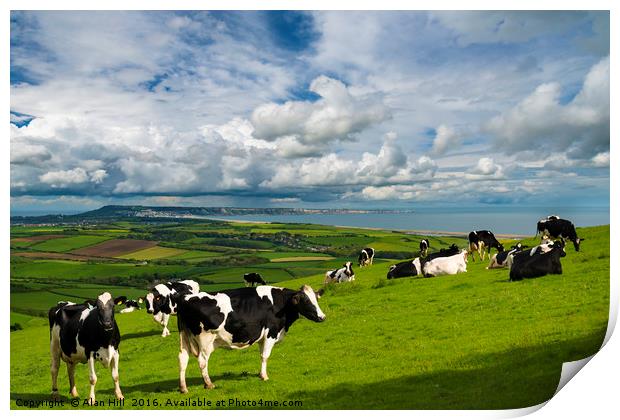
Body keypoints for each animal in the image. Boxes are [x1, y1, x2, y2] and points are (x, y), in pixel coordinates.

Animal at [176, 284, 324, 392]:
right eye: (306, 301)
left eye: (316, 299)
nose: (322, 317)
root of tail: (185, 298)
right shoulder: (271, 333)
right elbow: (265, 356)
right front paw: (264, 376)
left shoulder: (262, 337)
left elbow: (261, 355)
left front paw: (260, 374)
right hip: (205, 340)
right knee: (202, 361)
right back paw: (209, 384)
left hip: (184, 337)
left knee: (183, 358)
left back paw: (183, 388)